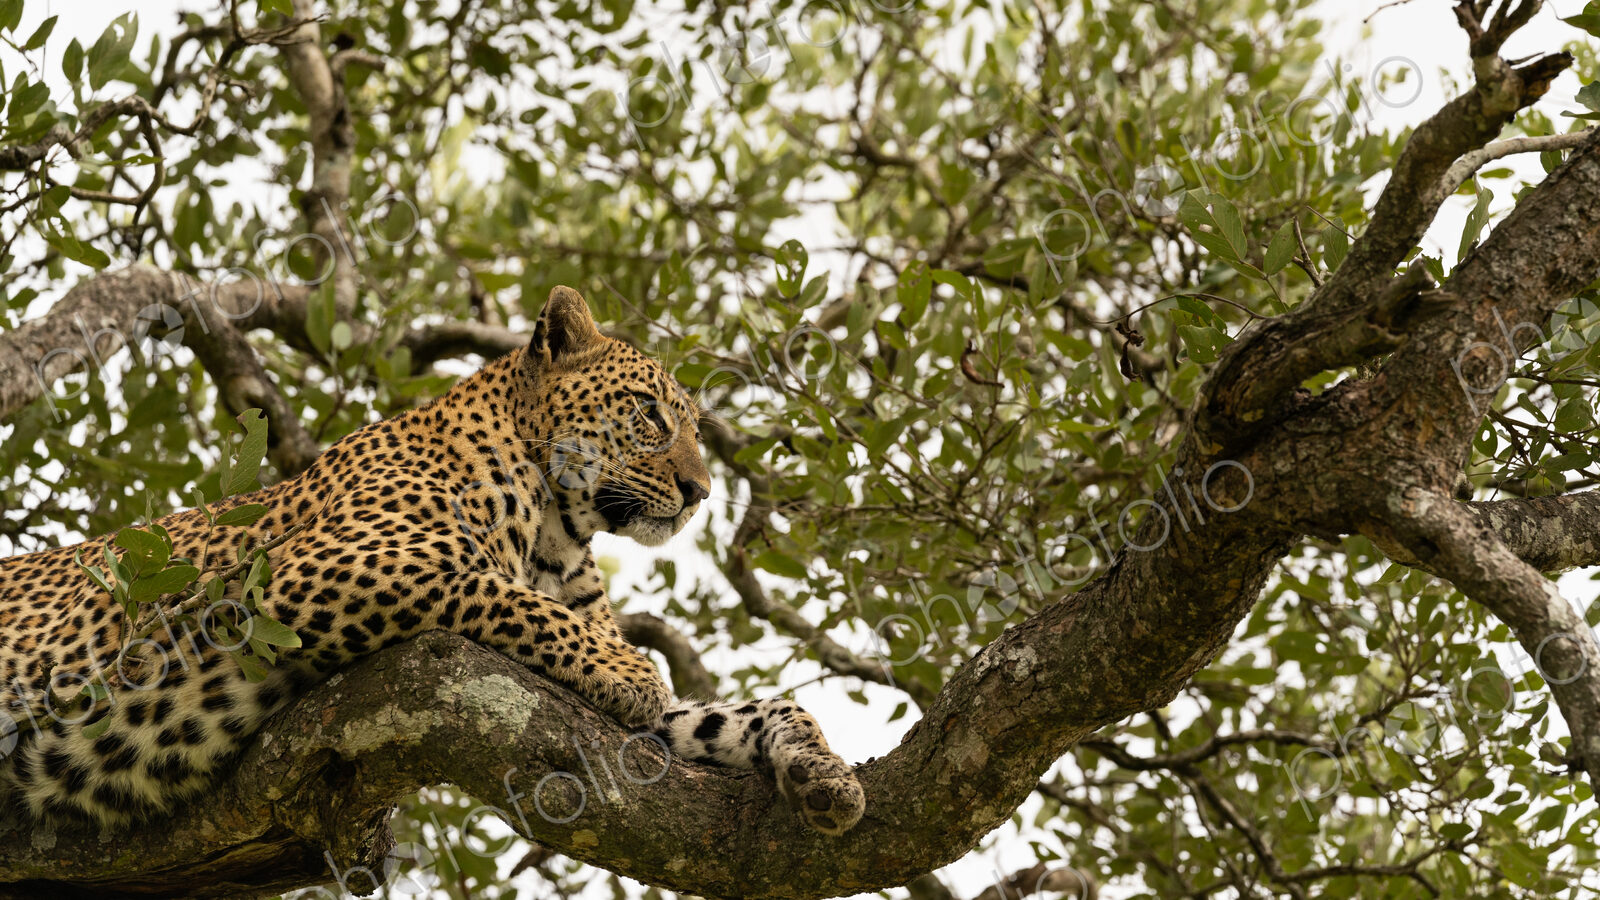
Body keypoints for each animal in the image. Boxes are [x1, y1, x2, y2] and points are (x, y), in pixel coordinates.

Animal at [0, 285, 865, 836]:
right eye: (650, 414)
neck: (560, 531)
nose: (700, 491)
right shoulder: (304, 575)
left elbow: (743, 713)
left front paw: (826, 775)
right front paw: (629, 671)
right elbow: (497, 592)